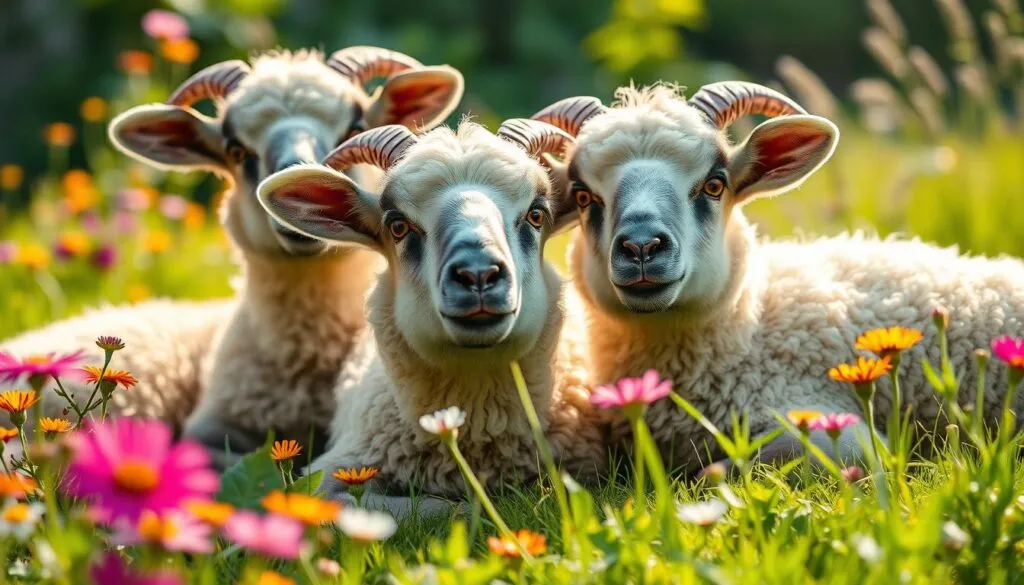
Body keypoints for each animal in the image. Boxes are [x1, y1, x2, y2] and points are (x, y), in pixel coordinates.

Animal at [532, 83, 1024, 472]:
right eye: (583, 196)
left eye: (715, 184)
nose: (641, 247)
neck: (751, 330)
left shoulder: (839, 434)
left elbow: (729, 468)